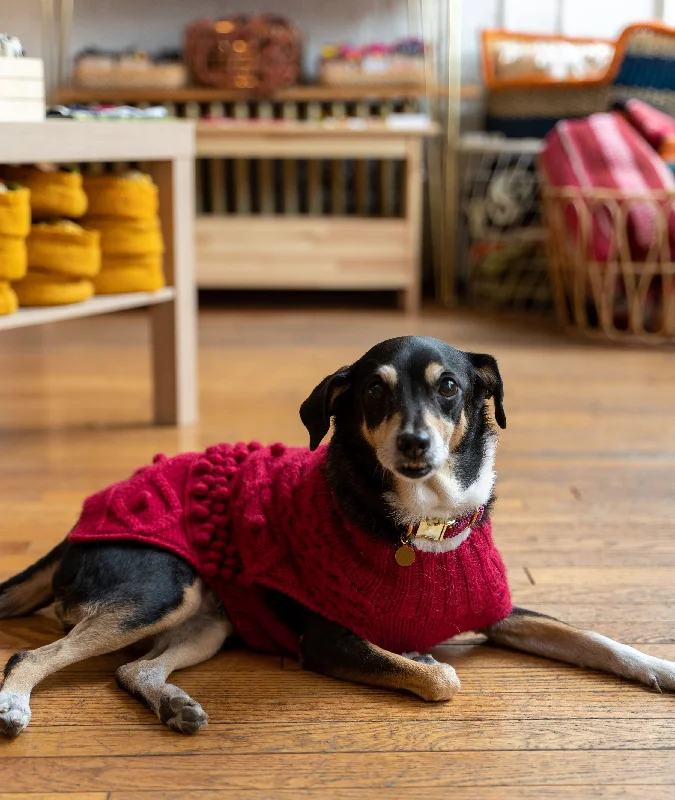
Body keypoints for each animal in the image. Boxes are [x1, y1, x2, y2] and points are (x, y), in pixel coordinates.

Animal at [1, 332, 675, 736]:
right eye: (373, 390)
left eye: (449, 387)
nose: (414, 443)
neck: (424, 526)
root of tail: (82, 522)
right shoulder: (324, 641)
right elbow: (442, 678)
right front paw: (420, 657)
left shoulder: (502, 611)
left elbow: (593, 639)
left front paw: (660, 667)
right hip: (162, 589)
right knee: (29, 654)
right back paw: (15, 703)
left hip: (210, 621)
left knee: (133, 672)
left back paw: (175, 704)